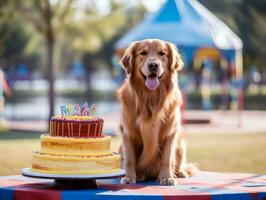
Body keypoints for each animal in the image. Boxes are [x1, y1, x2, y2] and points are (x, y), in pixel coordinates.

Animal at [118, 39, 193, 186]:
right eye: (143, 53)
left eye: (162, 53)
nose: (153, 65)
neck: (150, 98)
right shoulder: (128, 132)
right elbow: (129, 158)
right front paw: (129, 177)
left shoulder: (170, 133)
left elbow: (166, 158)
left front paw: (167, 177)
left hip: (180, 144)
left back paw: (180, 172)